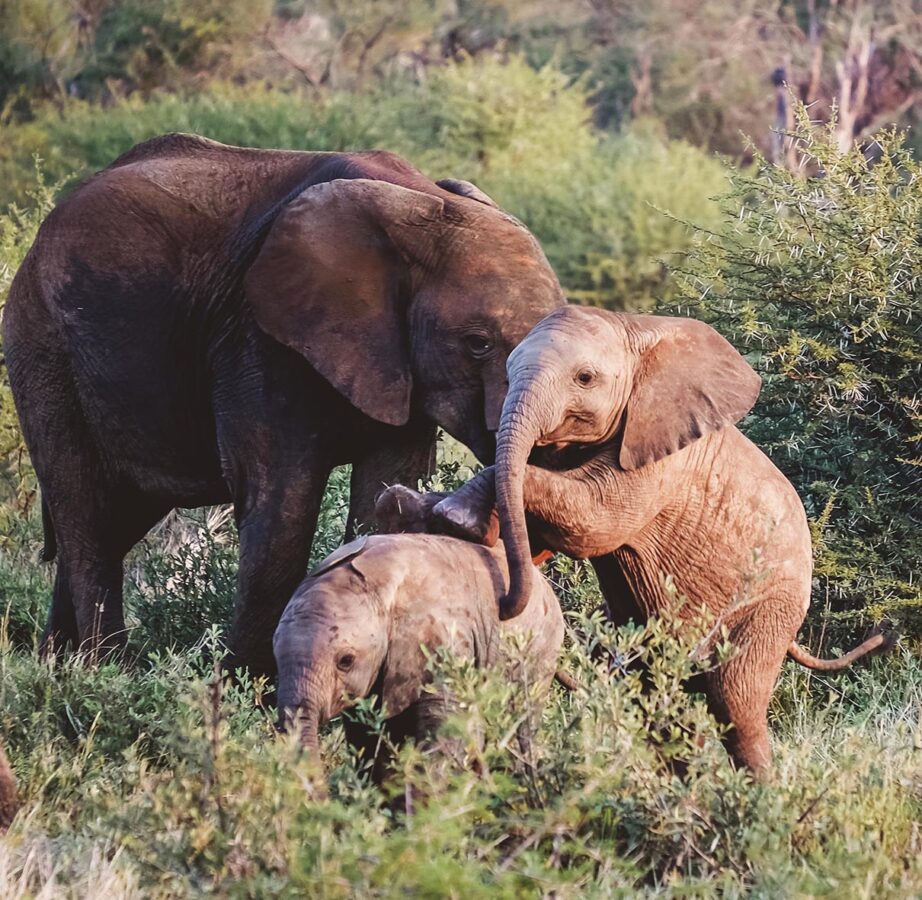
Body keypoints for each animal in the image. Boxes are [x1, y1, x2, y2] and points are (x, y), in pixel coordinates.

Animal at [1, 132, 560, 668]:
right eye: (478, 343)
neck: (421, 203)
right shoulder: (257, 335)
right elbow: (282, 507)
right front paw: (246, 687)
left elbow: (382, 490)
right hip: (43, 345)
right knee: (88, 515)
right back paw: (106, 672)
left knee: (117, 517)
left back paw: (59, 666)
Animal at [272, 486, 560, 772]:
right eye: (276, 658)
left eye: (346, 661)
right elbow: (366, 736)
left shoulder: (445, 645)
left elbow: (447, 733)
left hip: (540, 652)